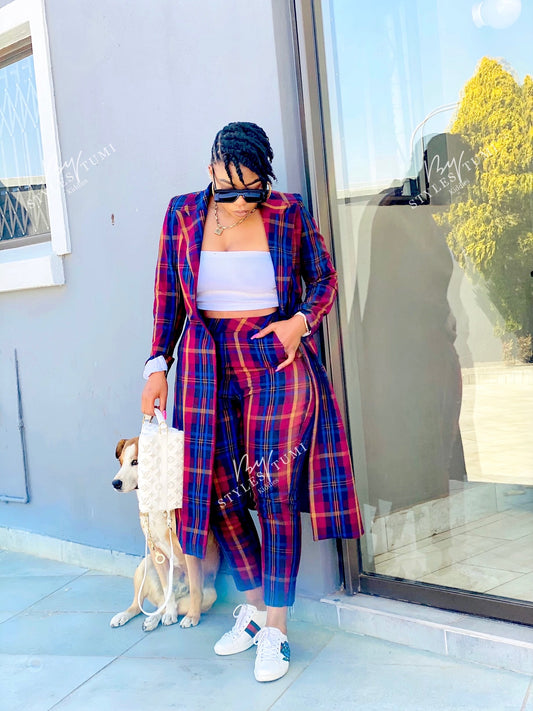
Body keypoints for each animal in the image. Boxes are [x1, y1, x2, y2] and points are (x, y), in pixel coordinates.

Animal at [110, 437, 220, 631]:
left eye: (136, 462)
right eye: (121, 462)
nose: (115, 483)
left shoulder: (189, 548)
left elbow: (195, 590)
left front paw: (192, 617)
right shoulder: (155, 550)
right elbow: (167, 588)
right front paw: (169, 614)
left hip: (210, 594)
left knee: (179, 602)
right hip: (145, 565)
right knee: (144, 604)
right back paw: (133, 616)